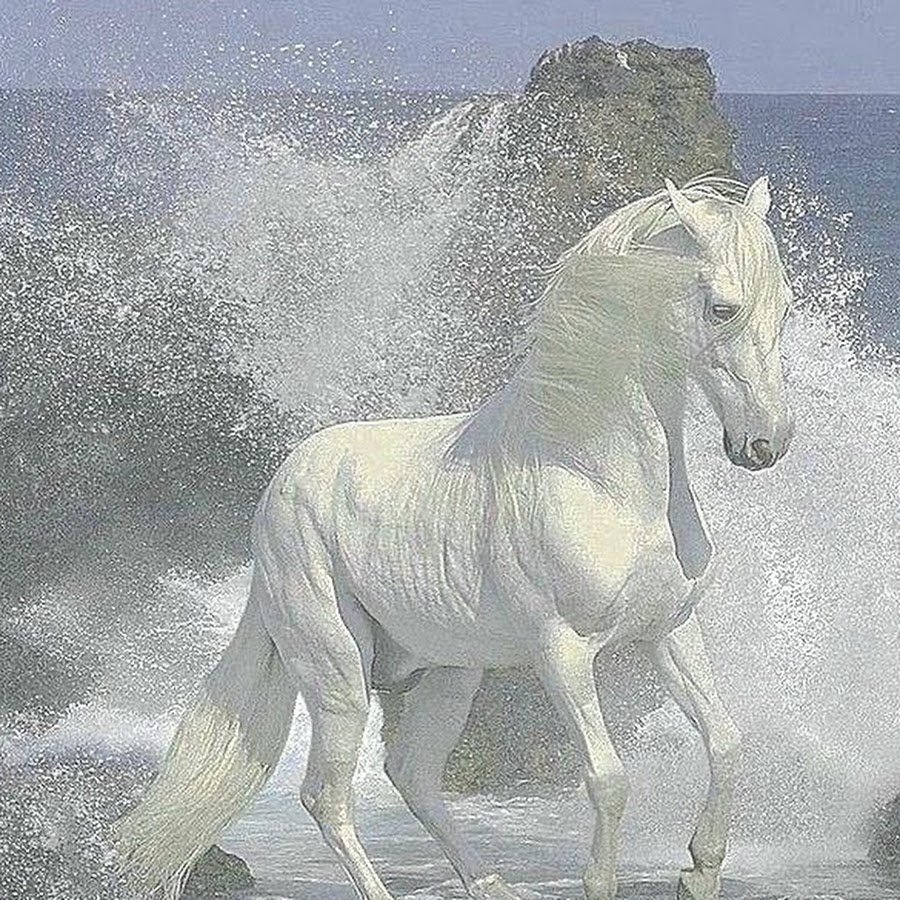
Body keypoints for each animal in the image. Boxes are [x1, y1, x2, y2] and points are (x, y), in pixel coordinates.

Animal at [114, 174, 794, 900]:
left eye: (785, 307)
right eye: (722, 308)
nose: (764, 446)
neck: (596, 475)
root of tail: (279, 489)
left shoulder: (668, 632)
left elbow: (726, 742)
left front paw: (699, 870)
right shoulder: (561, 653)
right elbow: (609, 781)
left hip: (447, 674)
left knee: (412, 776)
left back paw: (491, 883)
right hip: (338, 675)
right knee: (327, 797)